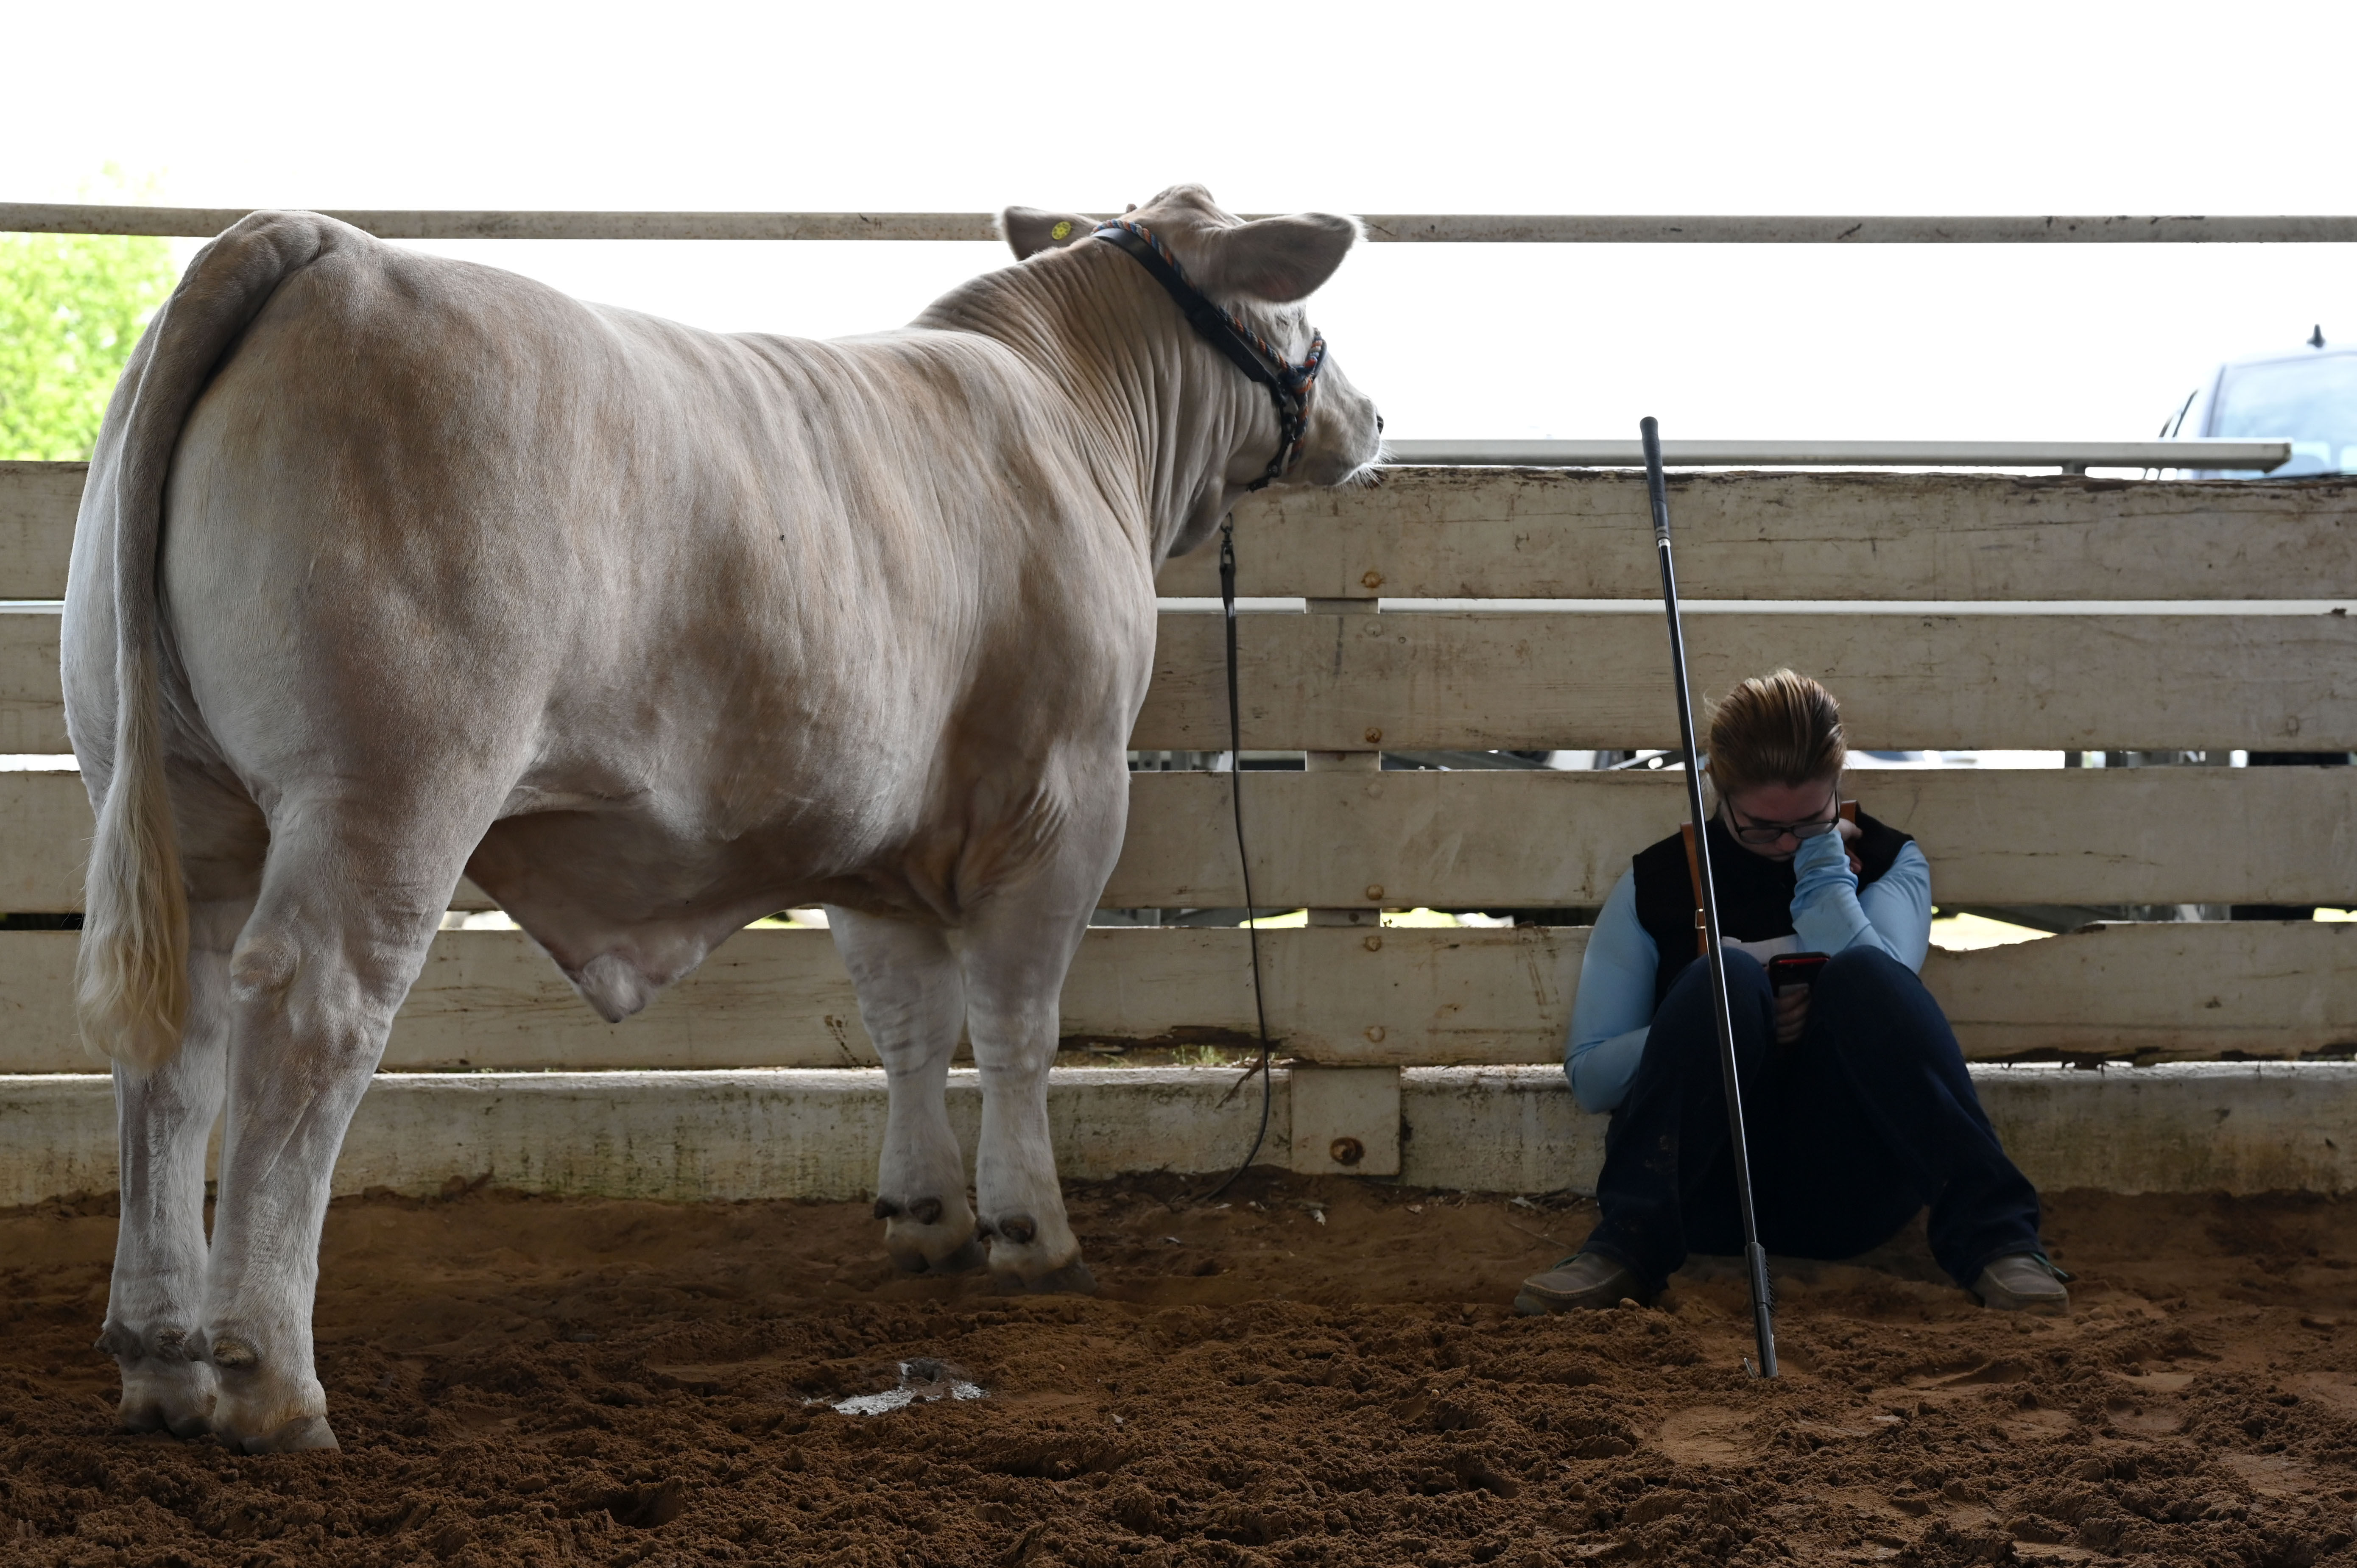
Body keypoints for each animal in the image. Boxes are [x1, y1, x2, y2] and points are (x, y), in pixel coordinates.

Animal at [63, 183, 1382, 1453]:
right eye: (1296, 308)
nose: (1368, 418)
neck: (1076, 404)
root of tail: (319, 241)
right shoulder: (1065, 798)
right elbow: (1018, 1028)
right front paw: (1033, 1234)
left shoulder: (882, 840)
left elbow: (907, 1021)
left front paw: (926, 1216)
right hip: (386, 788)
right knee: (311, 1020)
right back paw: (270, 1383)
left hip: (172, 789)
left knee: (176, 1042)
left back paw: (159, 1359)